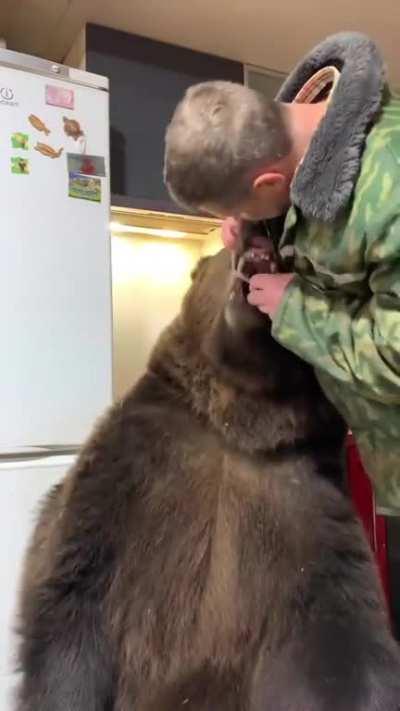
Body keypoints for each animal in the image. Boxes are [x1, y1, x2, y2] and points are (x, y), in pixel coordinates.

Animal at [15, 228, 400, 711]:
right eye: (224, 244)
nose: (261, 237)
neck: (235, 421)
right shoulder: (131, 470)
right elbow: (73, 598)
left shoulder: (305, 507)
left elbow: (342, 651)